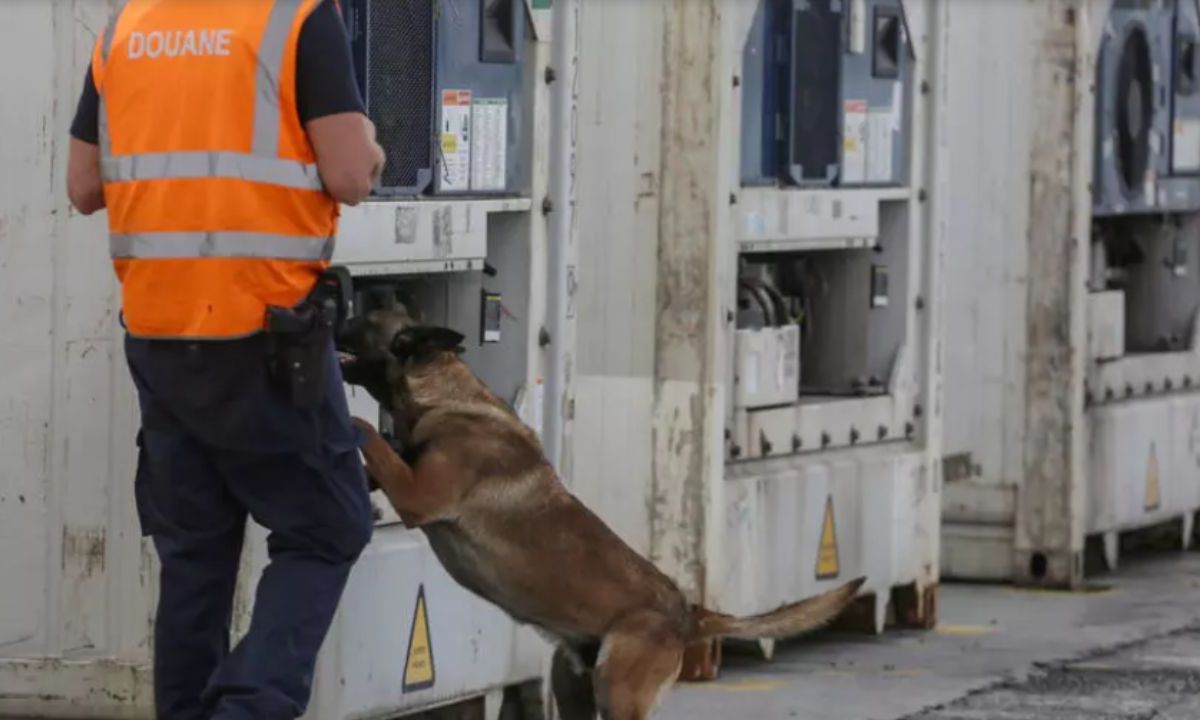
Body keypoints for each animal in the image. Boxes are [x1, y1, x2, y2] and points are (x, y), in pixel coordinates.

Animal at [338, 304, 864, 720]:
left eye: (363, 321)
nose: (334, 308)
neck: (446, 394)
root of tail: (688, 613)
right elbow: (379, 452)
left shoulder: (418, 495)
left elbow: (369, 430)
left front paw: (351, 420)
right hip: (572, 686)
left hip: (617, 690)